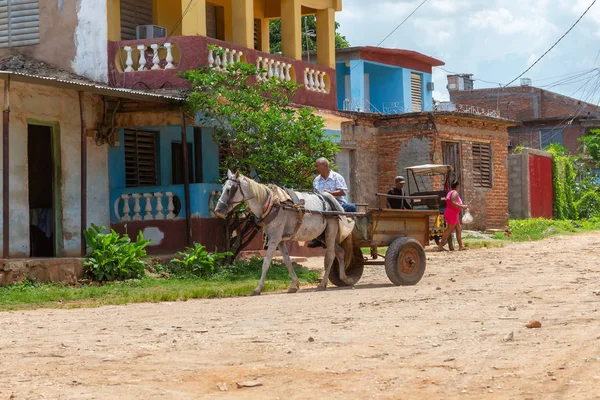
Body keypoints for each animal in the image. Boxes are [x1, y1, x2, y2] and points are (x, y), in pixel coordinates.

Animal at [216, 170, 354, 296]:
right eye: (222, 188)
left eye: (230, 189)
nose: (218, 210)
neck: (272, 203)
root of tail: (328, 197)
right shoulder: (280, 240)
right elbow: (287, 261)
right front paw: (294, 285)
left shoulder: (274, 239)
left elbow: (266, 263)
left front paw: (257, 289)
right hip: (322, 235)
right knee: (340, 252)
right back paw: (345, 279)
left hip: (330, 232)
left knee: (330, 256)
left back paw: (322, 284)